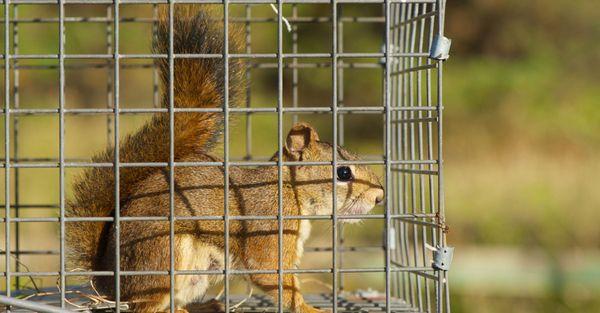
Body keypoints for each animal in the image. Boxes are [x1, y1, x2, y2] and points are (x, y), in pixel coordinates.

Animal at [67, 4, 384, 312]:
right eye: (343, 173)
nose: (380, 196)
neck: (290, 192)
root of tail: (109, 283)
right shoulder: (266, 226)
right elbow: (274, 276)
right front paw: (310, 309)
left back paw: (206, 306)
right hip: (162, 255)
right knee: (147, 306)